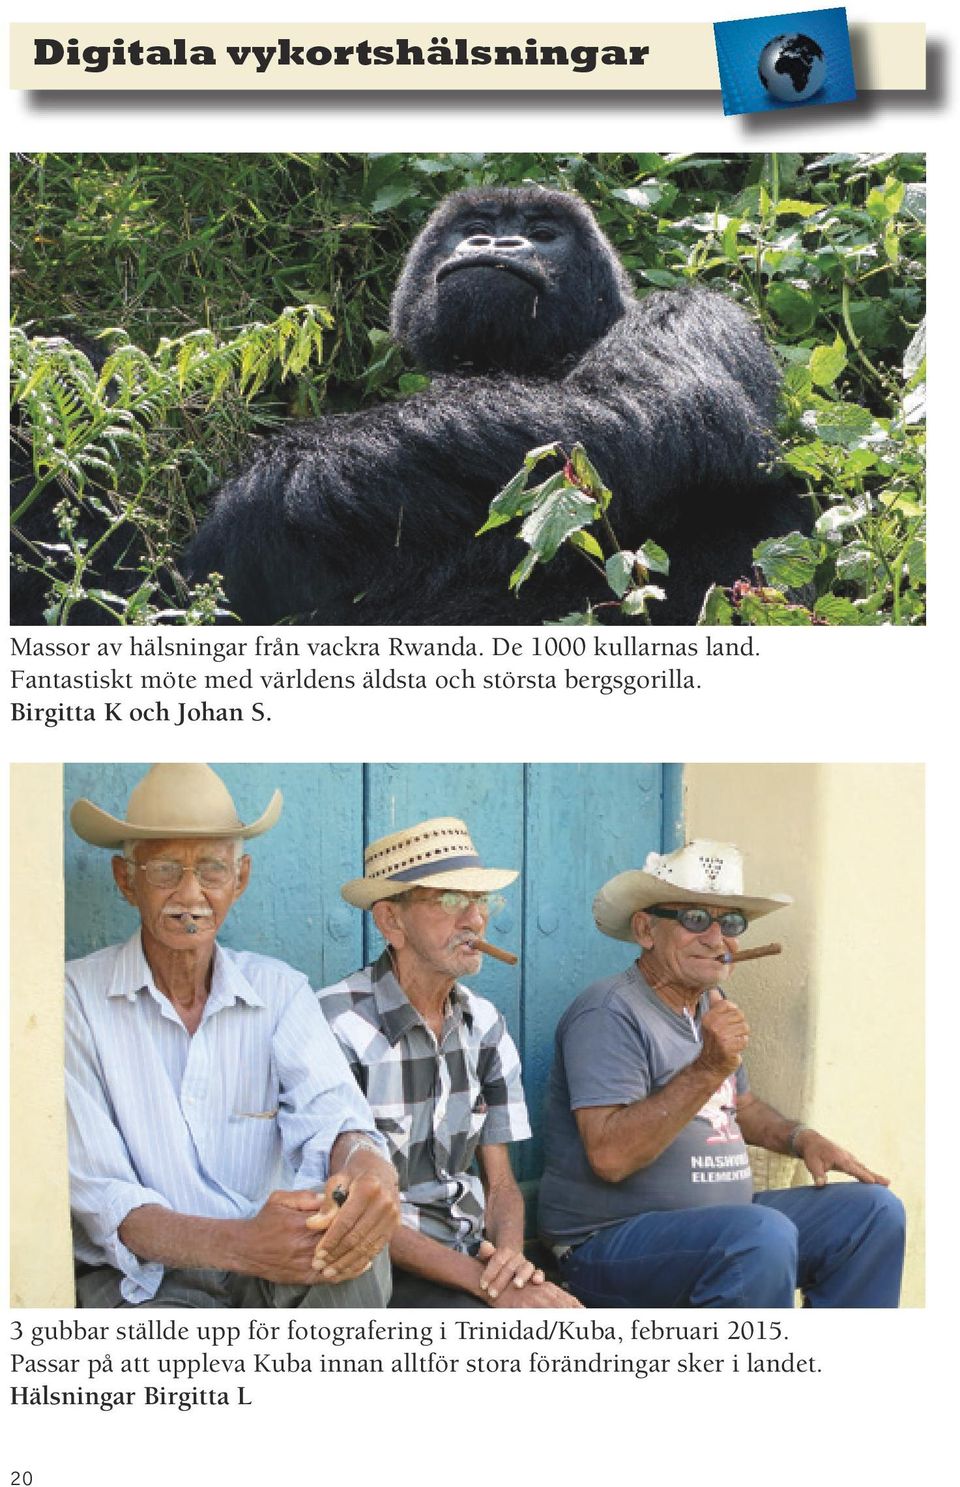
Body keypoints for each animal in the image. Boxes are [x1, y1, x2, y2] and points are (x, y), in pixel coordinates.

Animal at [178, 187, 796, 627]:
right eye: (475, 229)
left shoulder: (691, 311)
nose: (495, 246)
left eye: (543, 234)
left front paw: (252, 506)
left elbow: (640, 414)